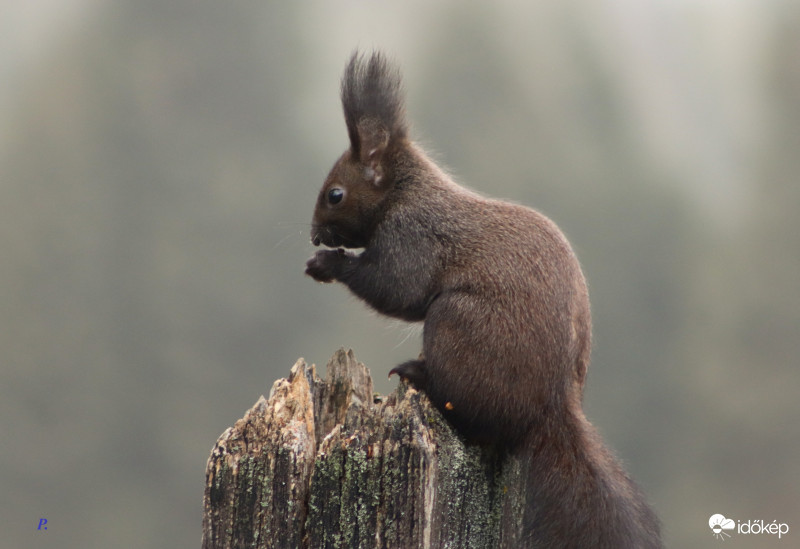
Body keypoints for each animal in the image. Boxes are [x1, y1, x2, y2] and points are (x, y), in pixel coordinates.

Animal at [306, 51, 664, 548]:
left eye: (335, 195)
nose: (314, 234)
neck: (404, 191)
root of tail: (550, 406)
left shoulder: (412, 236)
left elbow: (397, 290)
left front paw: (327, 263)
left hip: (458, 325)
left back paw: (419, 374)